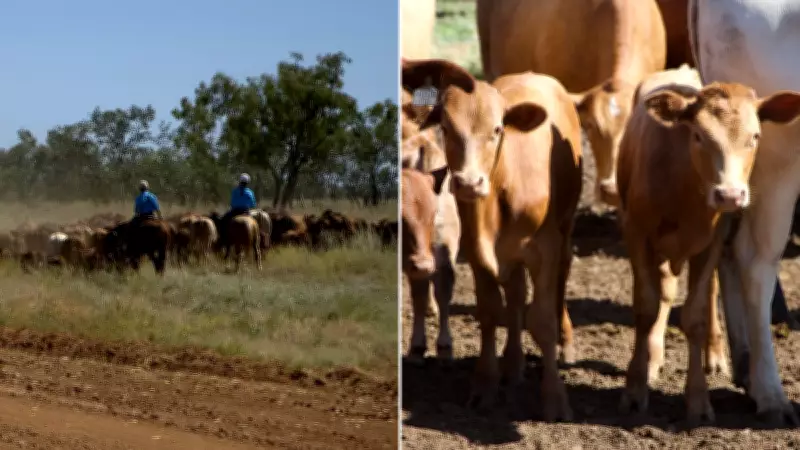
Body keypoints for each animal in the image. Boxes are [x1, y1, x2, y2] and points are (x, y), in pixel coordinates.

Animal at [402, 58, 582, 420]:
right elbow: (489, 312)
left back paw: (565, 342)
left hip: (565, 227)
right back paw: (513, 366)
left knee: (561, 277)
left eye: (497, 130)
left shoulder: (545, 249)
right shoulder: (477, 251)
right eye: (446, 127)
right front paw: (485, 386)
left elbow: (542, 320)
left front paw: (555, 399)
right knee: (514, 295)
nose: (469, 183)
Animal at [616, 70, 800, 424]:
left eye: (755, 136)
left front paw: (699, 401)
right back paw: (654, 355)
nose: (729, 195)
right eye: (699, 135)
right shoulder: (637, 234)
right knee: (664, 291)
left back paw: (714, 354)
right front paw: (635, 387)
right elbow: (646, 307)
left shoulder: (711, 243)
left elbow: (696, 317)